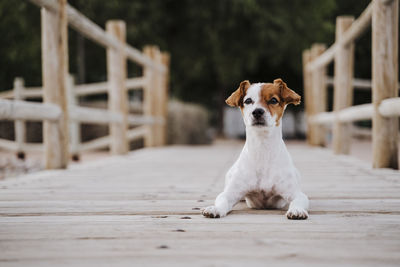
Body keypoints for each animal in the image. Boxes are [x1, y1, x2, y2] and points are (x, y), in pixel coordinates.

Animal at [203, 79, 310, 220]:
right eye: (248, 101)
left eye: (273, 100)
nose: (257, 111)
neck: (262, 148)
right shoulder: (230, 193)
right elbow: (222, 200)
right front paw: (215, 208)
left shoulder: (296, 194)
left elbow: (298, 201)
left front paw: (297, 210)